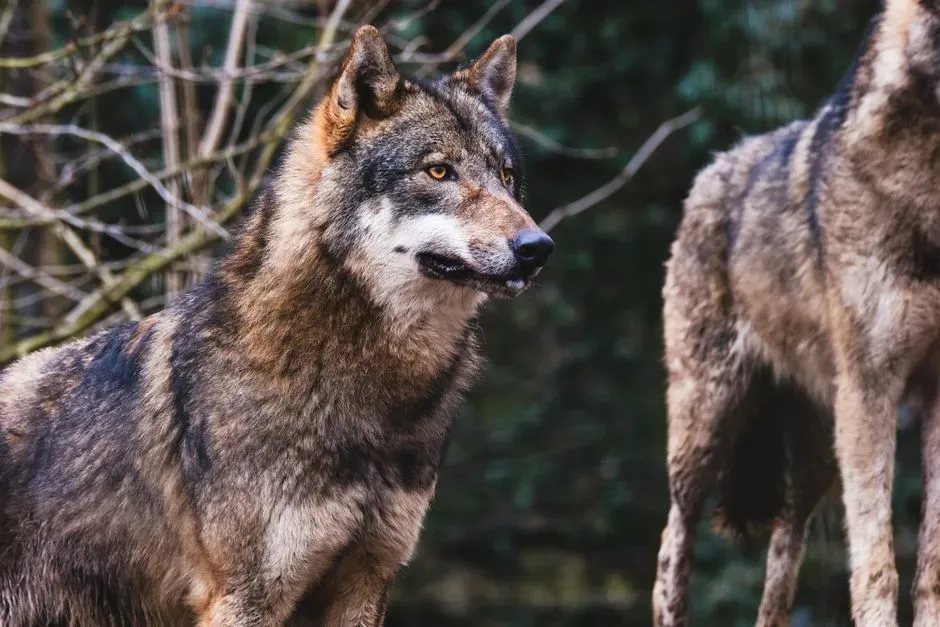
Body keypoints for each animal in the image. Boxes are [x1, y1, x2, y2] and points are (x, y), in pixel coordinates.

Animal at [651, 1, 940, 626]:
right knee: (671, 551)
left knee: (782, 558)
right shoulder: (872, 386)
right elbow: (877, 564)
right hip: (705, 429)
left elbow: (929, 565)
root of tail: (709, 171)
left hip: (818, 454)